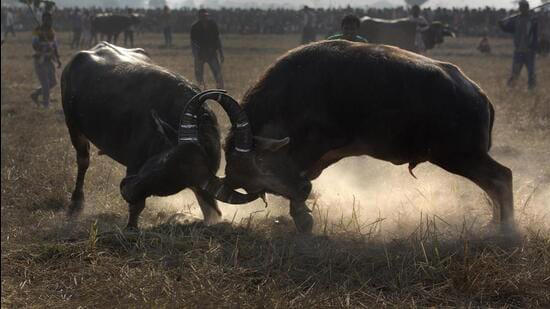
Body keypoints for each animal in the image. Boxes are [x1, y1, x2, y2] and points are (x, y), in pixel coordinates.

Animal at [61, 42, 260, 227]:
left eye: (172, 183)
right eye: (163, 160)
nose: (127, 191)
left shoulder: (200, 186)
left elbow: (213, 213)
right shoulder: (134, 162)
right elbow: (137, 206)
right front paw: (131, 226)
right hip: (73, 125)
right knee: (83, 160)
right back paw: (76, 204)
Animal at [197, 40, 512, 233]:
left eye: (259, 163)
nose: (302, 189)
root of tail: (478, 94)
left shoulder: (315, 147)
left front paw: (303, 216)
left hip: (459, 155)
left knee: (501, 178)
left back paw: (506, 230)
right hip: (462, 157)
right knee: (493, 184)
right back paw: (494, 225)